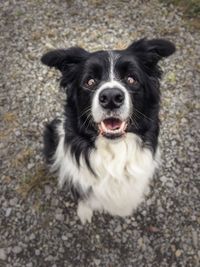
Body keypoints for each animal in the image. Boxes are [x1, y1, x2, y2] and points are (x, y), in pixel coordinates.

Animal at [40, 38, 175, 224]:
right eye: (90, 81)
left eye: (131, 79)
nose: (111, 97)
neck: (114, 149)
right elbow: (83, 195)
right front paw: (84, 212)